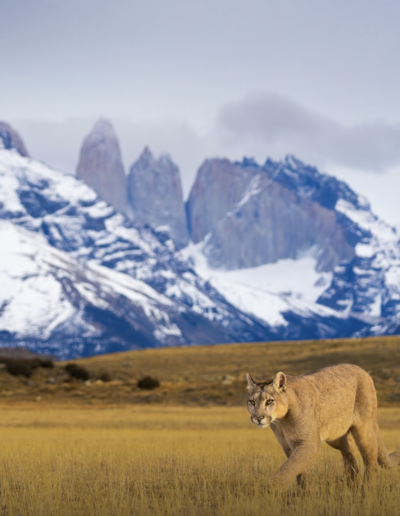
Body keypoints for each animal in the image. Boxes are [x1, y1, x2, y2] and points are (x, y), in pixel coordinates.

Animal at [246, 364, 400, 491]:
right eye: (252, 402)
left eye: (269, 401)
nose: (258, 418)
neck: (282, 422)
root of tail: (362, 370)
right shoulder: (288, 445)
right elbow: (299, 471)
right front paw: (304, 495)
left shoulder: (309, 443)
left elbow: (288, 469)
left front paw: (269, 491)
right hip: (336, 437)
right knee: (349, 453)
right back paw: (351, 487)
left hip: (364, 427)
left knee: (370, 459)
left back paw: (365, 491)